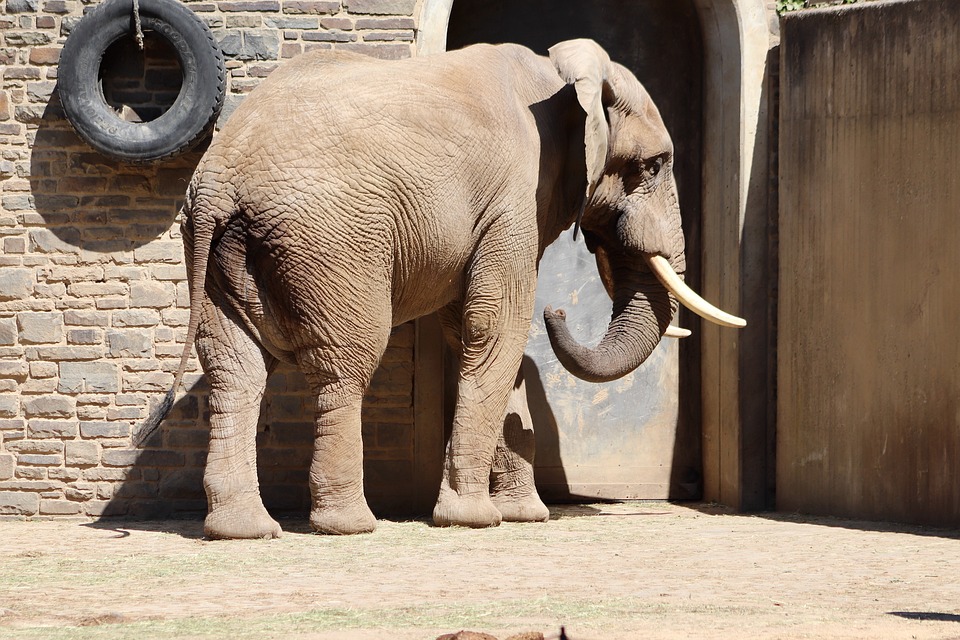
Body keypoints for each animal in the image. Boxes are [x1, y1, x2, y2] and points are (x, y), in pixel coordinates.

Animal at [141, 38, 744, 540]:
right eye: (654, 165)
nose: (558, 312)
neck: (556, 74)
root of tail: (220, 176)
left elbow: (472, 332)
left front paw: (523, 515)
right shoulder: (514, 196)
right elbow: (497, 327)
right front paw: (475, 520)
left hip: (217, 248)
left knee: (234, 368)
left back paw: (244, 531)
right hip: (331, 238)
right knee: (347, 362)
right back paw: (350, 526)